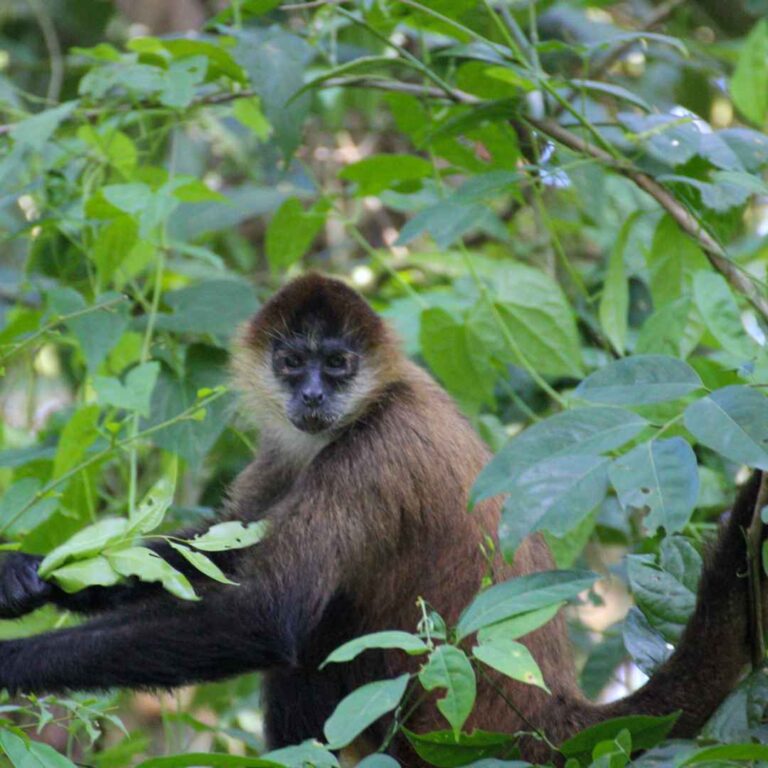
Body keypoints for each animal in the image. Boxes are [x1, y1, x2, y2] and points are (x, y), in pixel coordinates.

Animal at [0, 274, 760, 760]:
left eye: (337, 364)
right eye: (292, 362)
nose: (311, 395)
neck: (370, 402)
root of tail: (548, 717)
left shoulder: (375, 453)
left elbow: (267, 613)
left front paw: (11, 662)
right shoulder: (289, 443)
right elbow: (219, 559)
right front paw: (23, 577)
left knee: (313, 637)